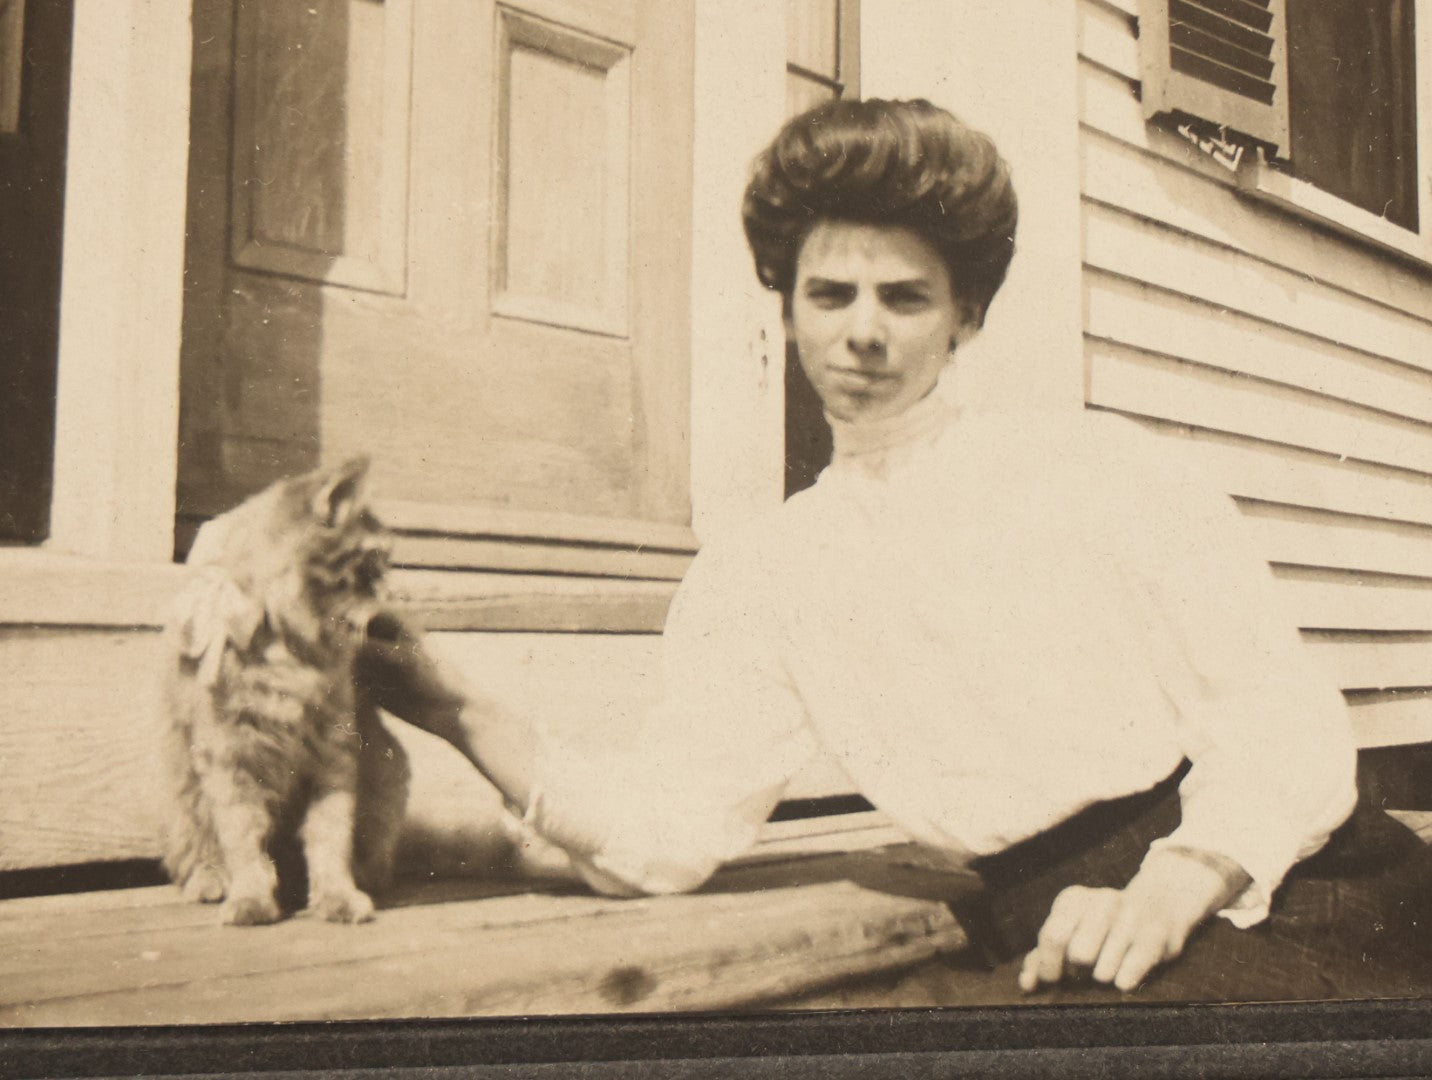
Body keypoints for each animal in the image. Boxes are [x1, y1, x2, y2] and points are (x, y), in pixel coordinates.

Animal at [161, 458, 409, 922]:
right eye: (372, 563)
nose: (394, 596)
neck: (287, 654)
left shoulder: (334, 757)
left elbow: (331, 837)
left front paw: (338, 895)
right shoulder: (229, 756)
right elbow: (243, 838)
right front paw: (251, 897)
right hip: (181, 790)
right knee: (197, 847)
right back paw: (211, 880)